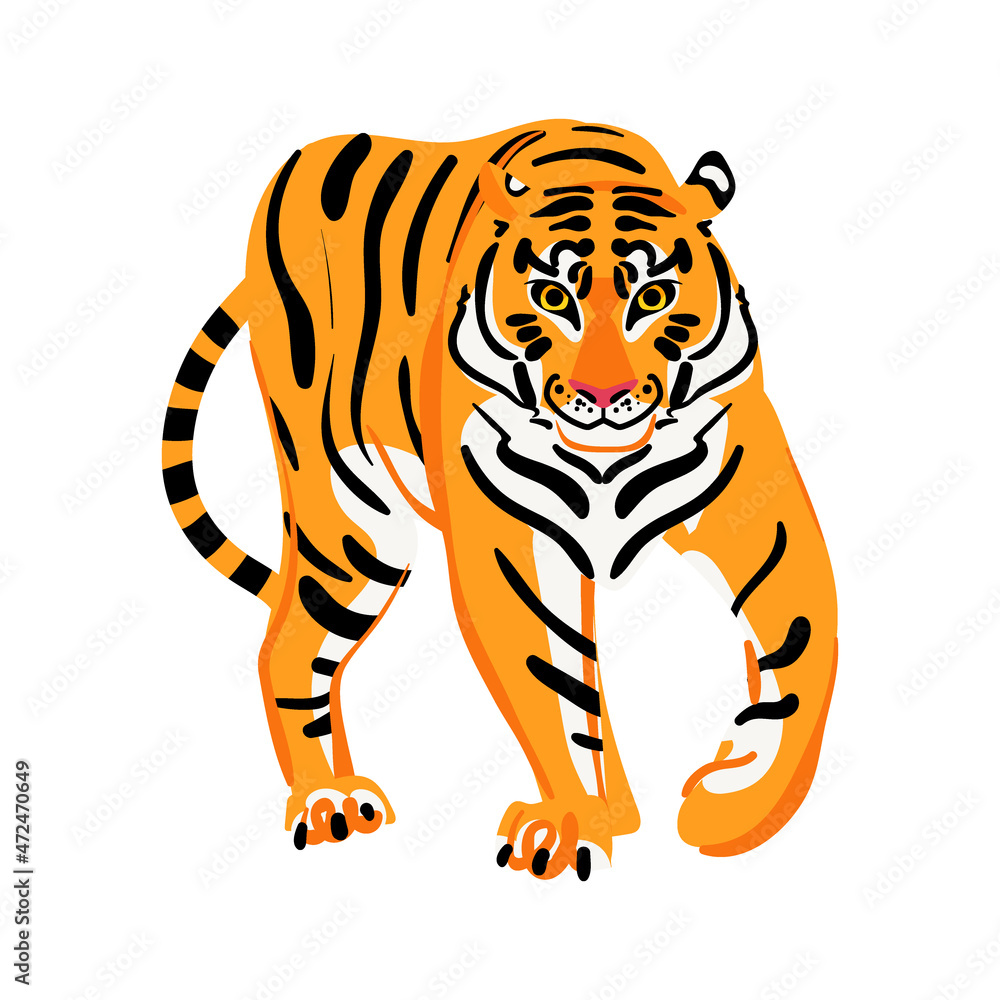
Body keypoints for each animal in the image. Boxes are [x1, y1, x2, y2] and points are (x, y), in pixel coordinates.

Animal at [162, 119, 837, 881]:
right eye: (553, 298)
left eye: (654, 297)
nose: (603, 396)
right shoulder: (515, 544)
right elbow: (552, 680)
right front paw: (572, 824)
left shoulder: (758, 515)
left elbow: (804, 649)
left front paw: (730, 799)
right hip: (353, 521)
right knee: (288, 646)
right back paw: (329, 800)